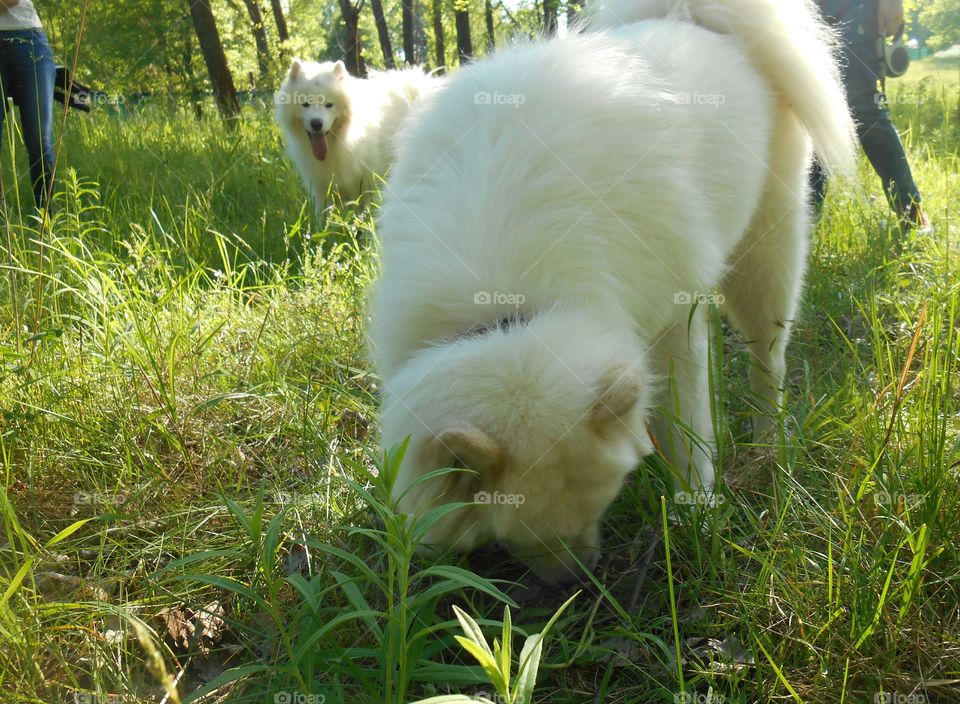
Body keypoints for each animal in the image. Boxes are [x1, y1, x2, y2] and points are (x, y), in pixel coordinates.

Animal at [368, 0, 856, 584]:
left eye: (599, 506)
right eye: (517, 536)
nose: (576, 579)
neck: (510, 305)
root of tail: (699, 22)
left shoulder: (671, 323)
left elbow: (688, 429)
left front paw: (696, 511)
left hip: (766, 260)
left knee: (768, 362)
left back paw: (769, 446)